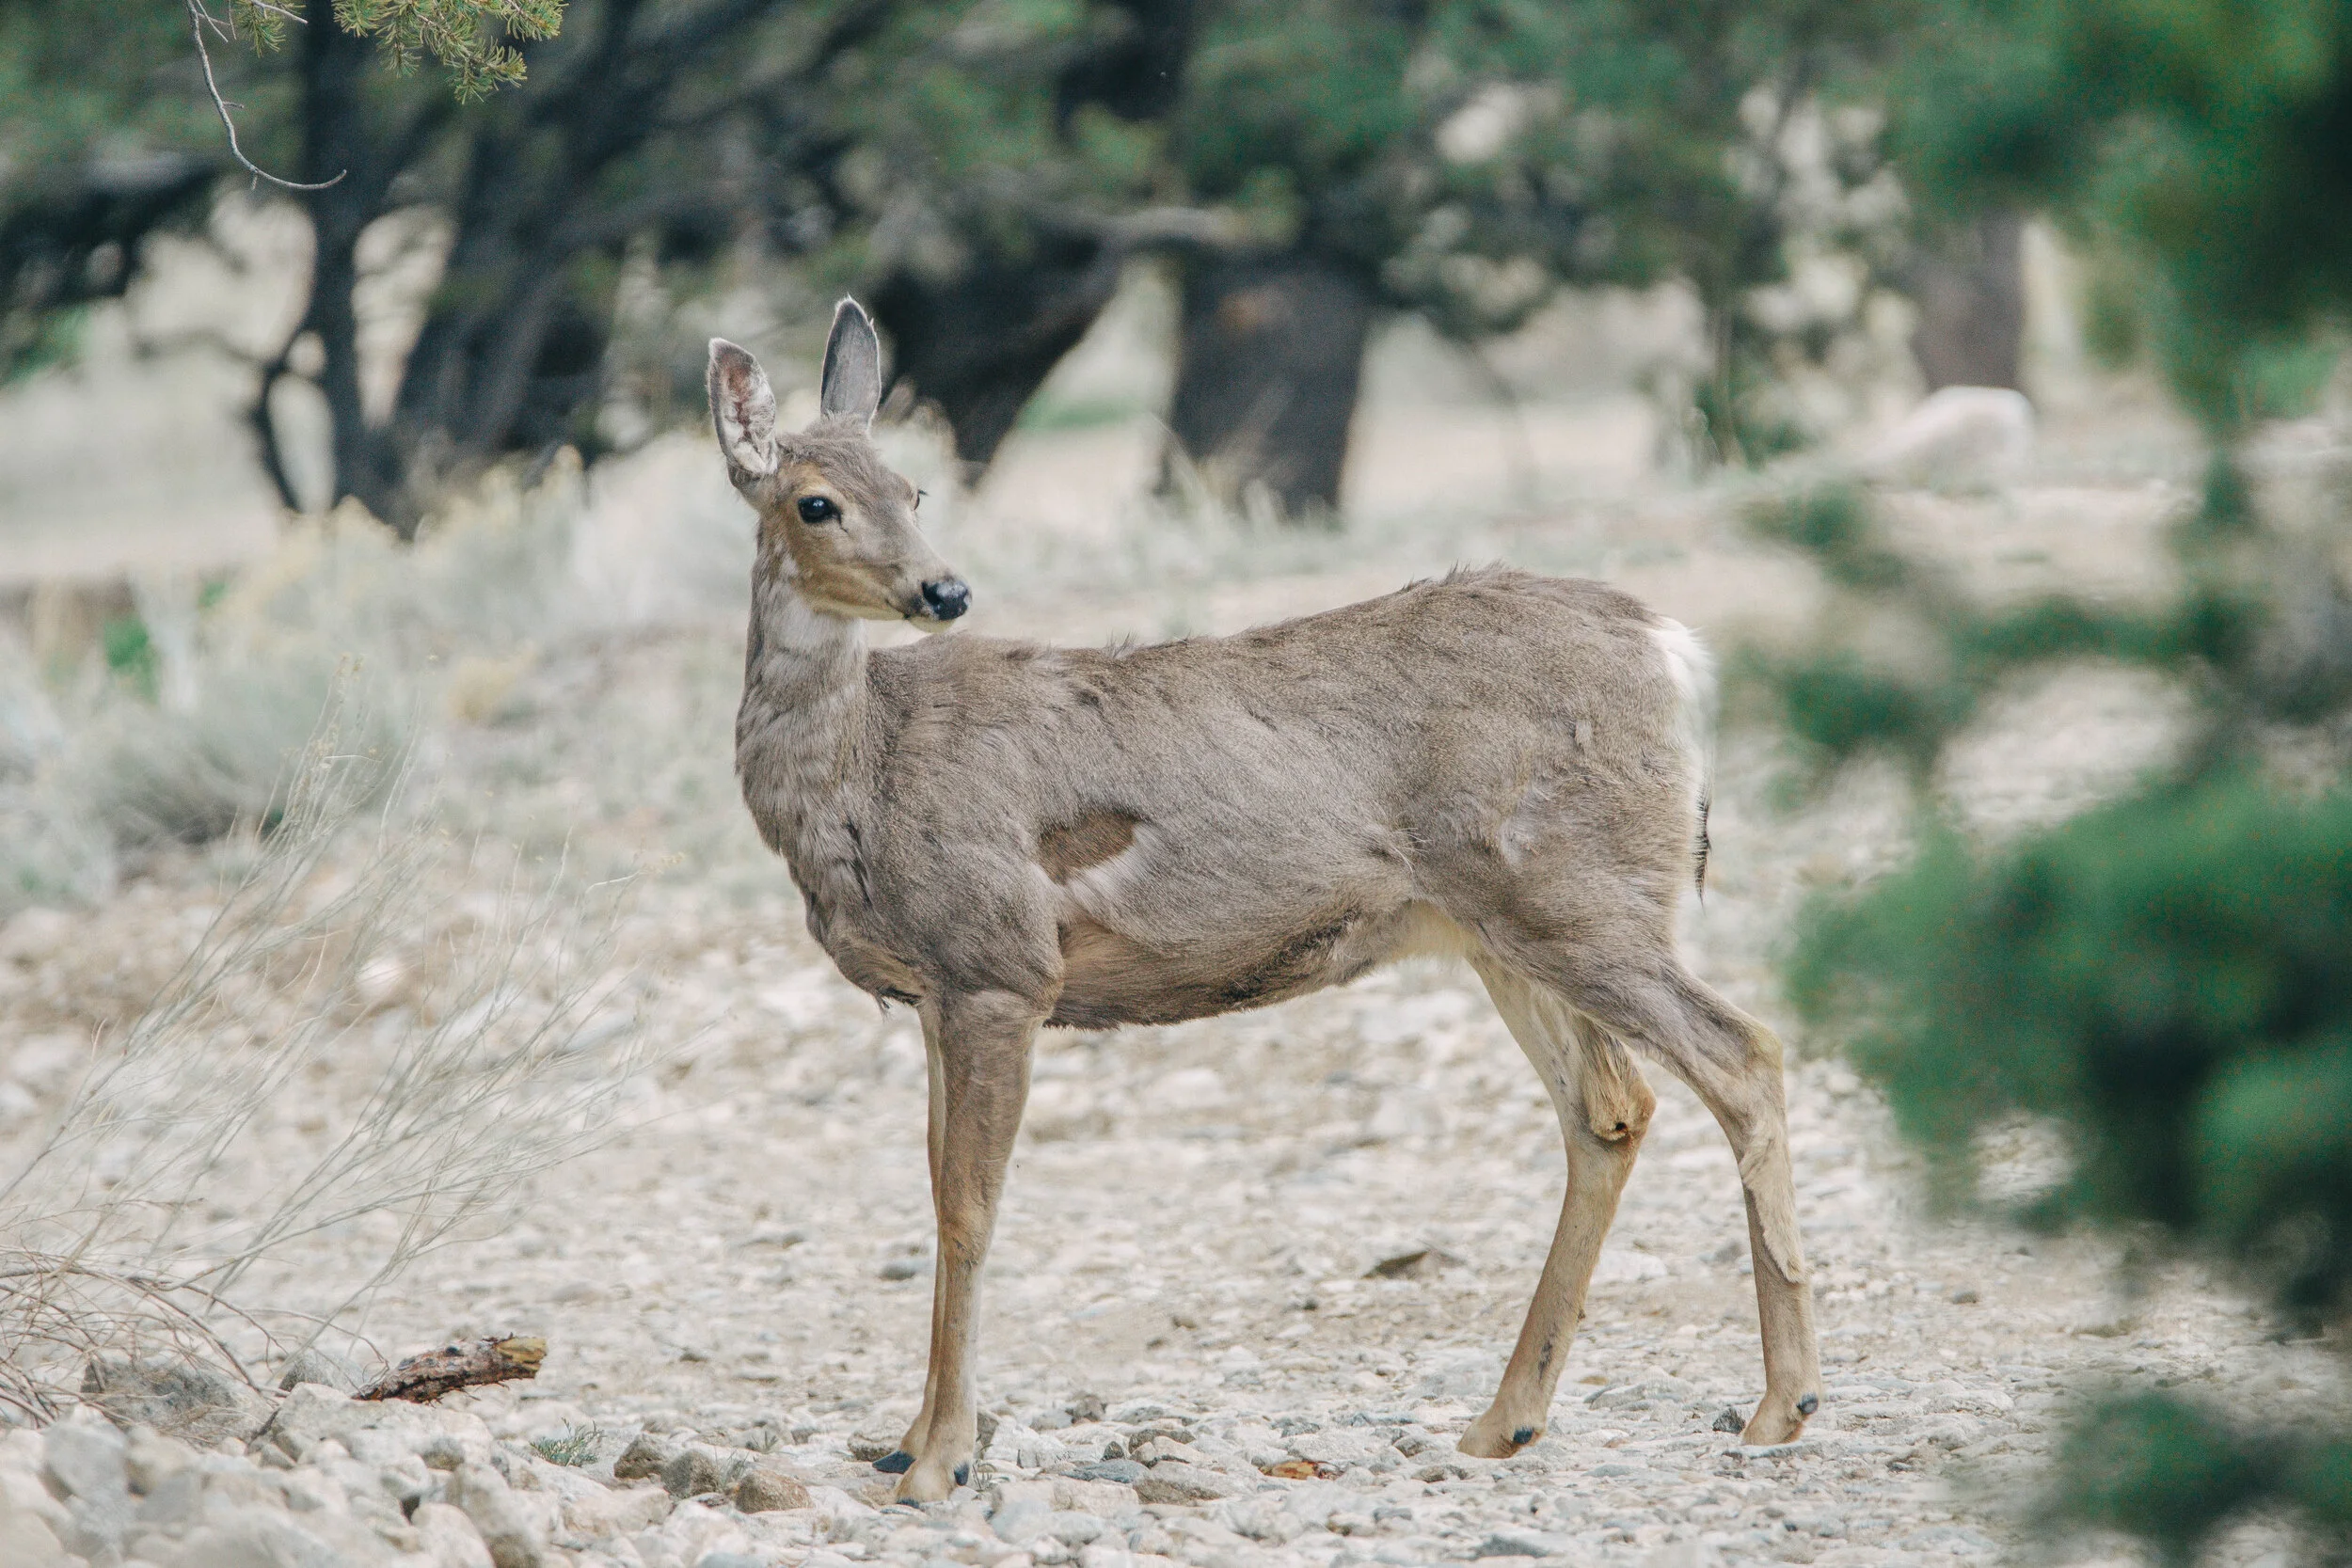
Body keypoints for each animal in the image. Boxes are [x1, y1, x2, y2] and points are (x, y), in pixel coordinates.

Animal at [708, 299, 1821, 1504]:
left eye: (913, 490)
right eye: (818, 501)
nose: (943, 591)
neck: (863, 771)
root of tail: (1674, 651)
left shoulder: (999, 965)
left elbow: (967, 1208)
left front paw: (941, 1460)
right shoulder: (929, 994)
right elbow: (929, 1190)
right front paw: (903, 1440)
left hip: (1581, 895)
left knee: (1742, 1053)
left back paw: (1781, 1404)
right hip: (1502, 926)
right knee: (1610, 1109)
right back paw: (1503, 1419)